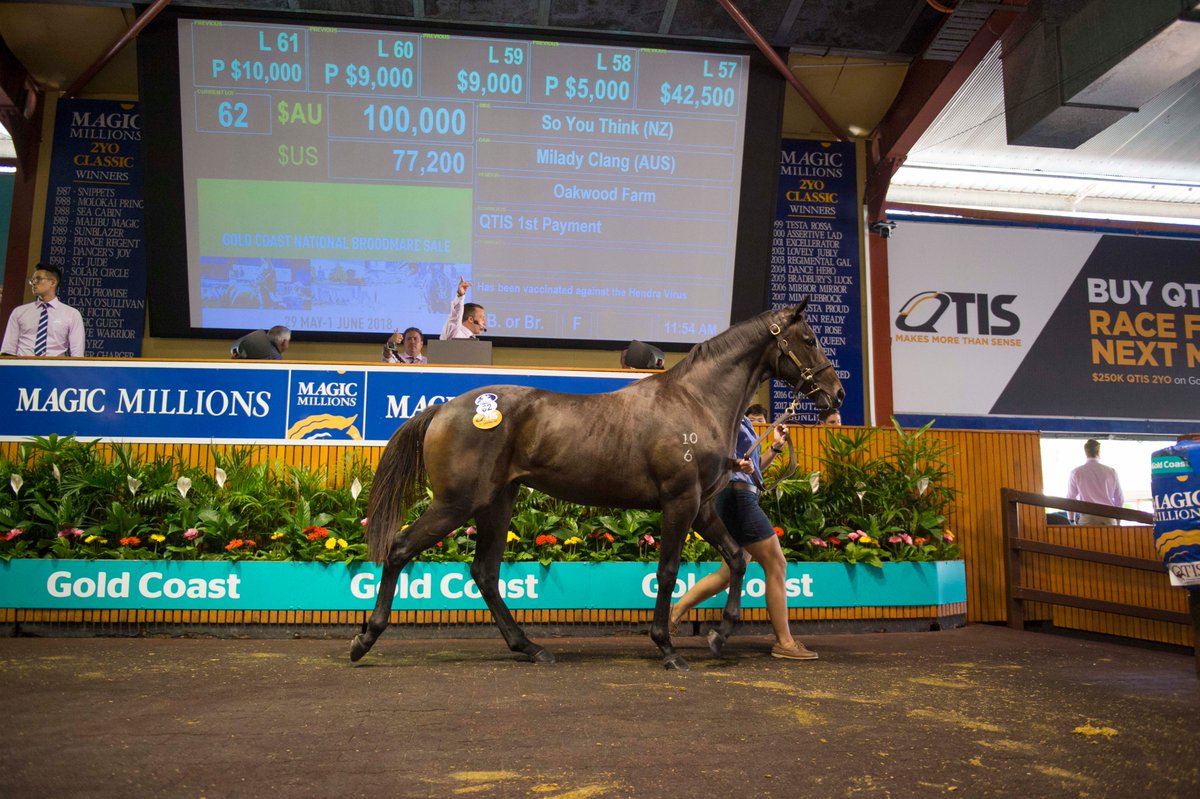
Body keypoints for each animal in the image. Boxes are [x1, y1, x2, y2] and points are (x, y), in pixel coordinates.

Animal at [350, 302, 849, 667]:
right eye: (808, 339)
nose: (837, 394)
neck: (695, 401)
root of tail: (443, 409)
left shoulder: (703, 506)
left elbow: (738, 559)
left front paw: (718, 636)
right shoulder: (679, 502)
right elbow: (668, 572)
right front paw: (667, 648)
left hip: (497, 503)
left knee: (485, 574)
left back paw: (531, 648)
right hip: (457, 503)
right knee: (400, 550)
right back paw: (365, 639)